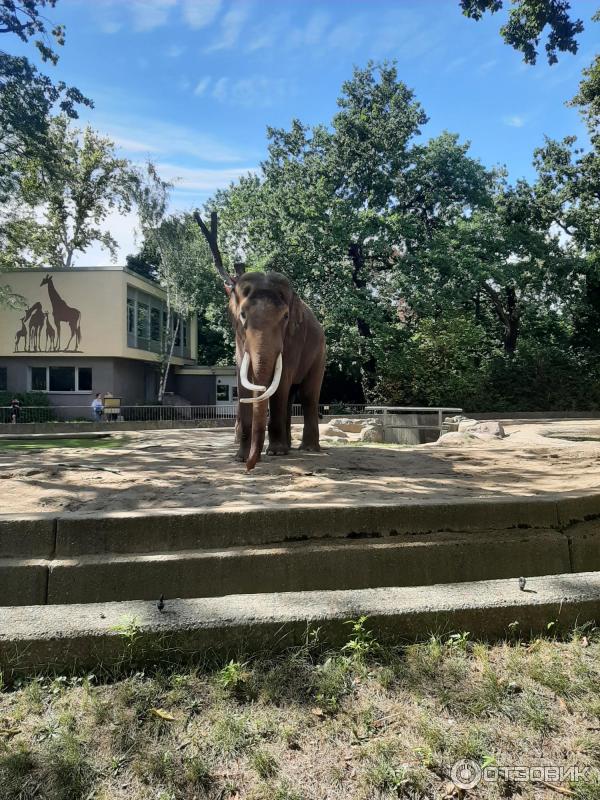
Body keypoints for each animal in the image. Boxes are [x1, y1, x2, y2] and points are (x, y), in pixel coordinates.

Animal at [230, 272, 326, 468]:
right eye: (242, 315)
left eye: (286, 316)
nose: (249, 467)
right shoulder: (239, 341)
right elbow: (243, 382)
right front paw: (240, 458)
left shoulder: (293, 340)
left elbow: (281, 383)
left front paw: (276, 453)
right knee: (289, 397)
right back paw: (288, 447)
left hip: (319, 354)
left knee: (308, 396)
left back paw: (307, 449)